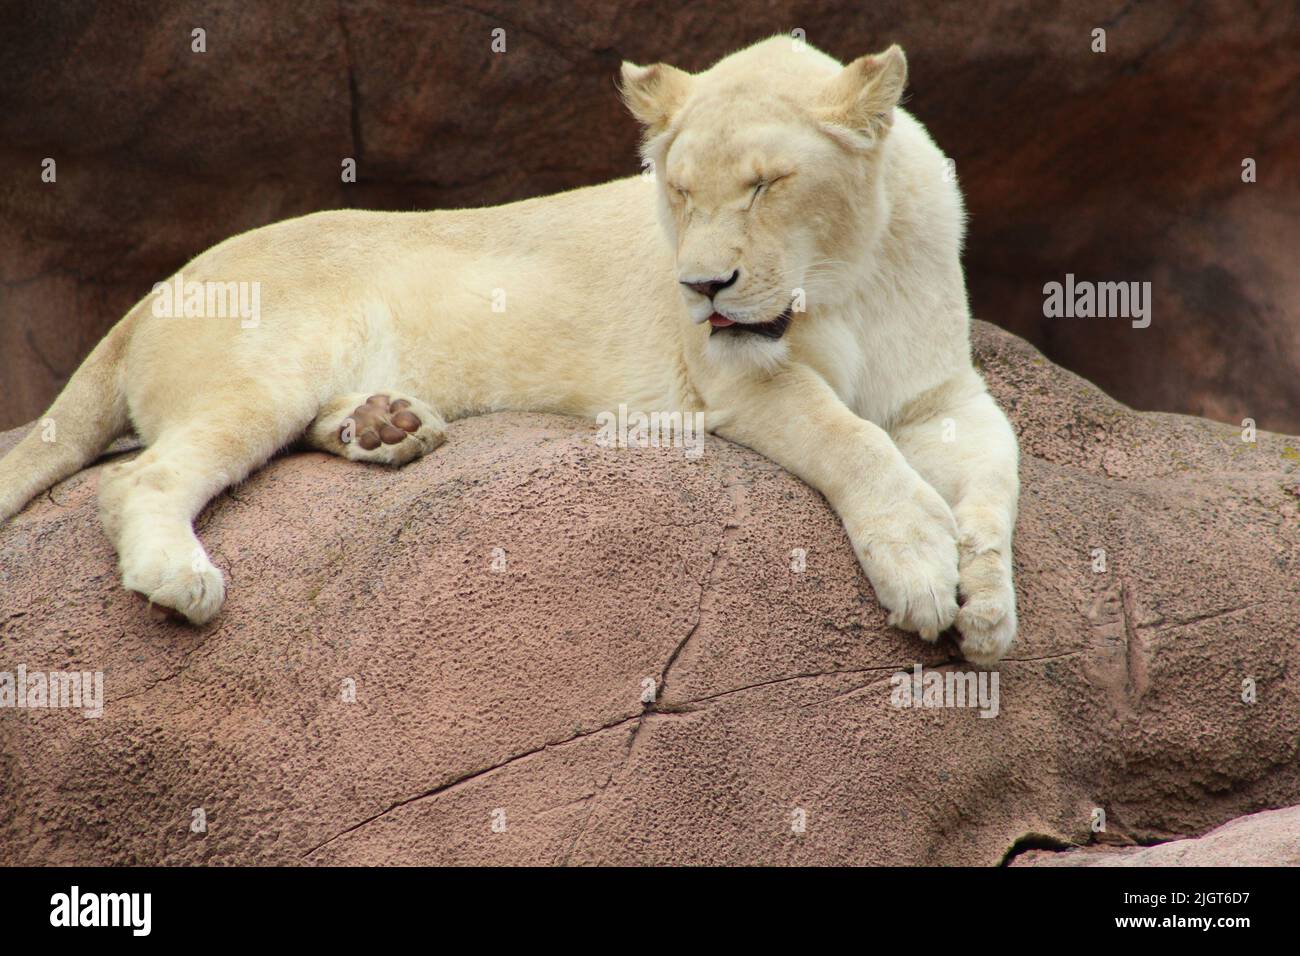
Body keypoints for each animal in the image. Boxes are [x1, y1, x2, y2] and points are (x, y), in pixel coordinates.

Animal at [0, 39, 1013, 665]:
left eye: (767, 185)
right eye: (680, 191)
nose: (702, 286)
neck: (845, 279)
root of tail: (154, 290)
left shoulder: (943, 393)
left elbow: (997, 476)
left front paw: (991, 610)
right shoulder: (734, 379)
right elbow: (855, 441)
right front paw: (924, 568)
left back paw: (387, 424)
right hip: (262, 370)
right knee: (134, 479)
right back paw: (180, 578)